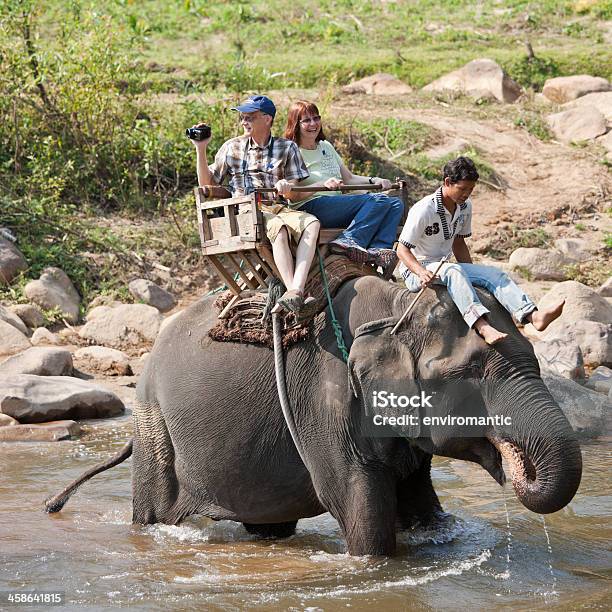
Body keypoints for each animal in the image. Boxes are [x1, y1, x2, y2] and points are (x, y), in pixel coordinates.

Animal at [45, 274, 580, 556]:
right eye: (470, 373)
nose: (515, 462)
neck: (395, 303)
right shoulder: (326, 398)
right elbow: (358, 507)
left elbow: (422, 506)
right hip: (155, 423)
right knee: (155, 511)